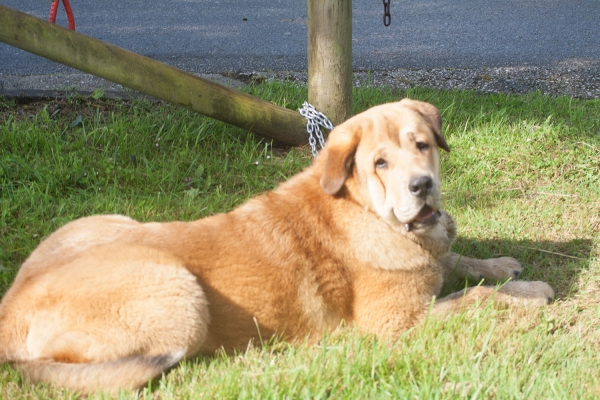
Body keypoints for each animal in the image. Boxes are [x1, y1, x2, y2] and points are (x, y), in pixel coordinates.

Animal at [0, 99, 552, 394]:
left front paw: (502, 265)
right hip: (179, 294)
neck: (363, 211)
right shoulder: (399, 323)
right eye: (380, 163)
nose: (423, 187)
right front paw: (532, 295)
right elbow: (474, 297)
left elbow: (461, 261)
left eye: (423, 145)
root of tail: (10, 307)